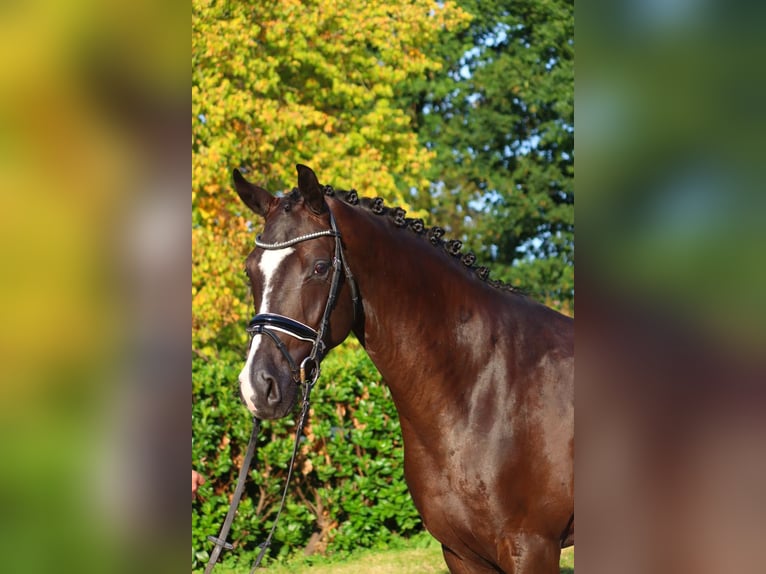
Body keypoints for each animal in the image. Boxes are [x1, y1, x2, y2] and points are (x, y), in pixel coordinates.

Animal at [234, 164, 576, 572]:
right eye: (250, 271)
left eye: (319, 267)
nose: (257, 386)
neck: (485, 388)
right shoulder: (460, 553)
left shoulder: (533, 549)